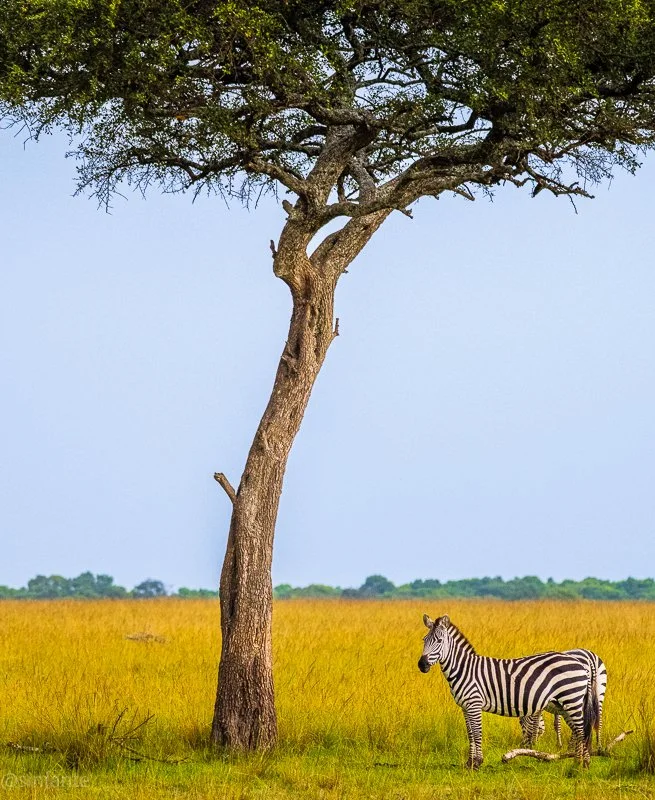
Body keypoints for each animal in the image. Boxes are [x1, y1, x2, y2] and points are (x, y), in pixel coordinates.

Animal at [418, 614, 602, 768]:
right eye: (424, 640)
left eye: (439, 640)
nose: (422, 665)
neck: (465, 670)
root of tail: (580, 662)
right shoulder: (465, 706)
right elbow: (470, 734)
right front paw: (469, 763)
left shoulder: (474, 704)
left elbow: (477, 733)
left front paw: (477, 762)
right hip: (564, 704)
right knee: (578, 730)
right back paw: (578, 761)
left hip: (572, 699)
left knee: (581, 730)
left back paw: (583, 764)